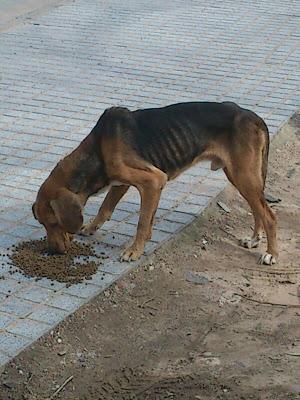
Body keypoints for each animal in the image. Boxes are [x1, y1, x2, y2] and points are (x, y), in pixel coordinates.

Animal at [31, 102, 278, 266]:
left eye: (53, 223)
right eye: (43, 225)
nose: (53, 251)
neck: (97, 150)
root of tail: (253, 116)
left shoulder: (153, 181)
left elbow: (141, 222)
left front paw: (134, 251)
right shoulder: (122, 183)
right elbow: (106, 209)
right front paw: (91, 228)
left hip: (243, 177)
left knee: (270, 216)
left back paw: (271, 254)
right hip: (241, 177)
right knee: (258, 209)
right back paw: (254, 239)